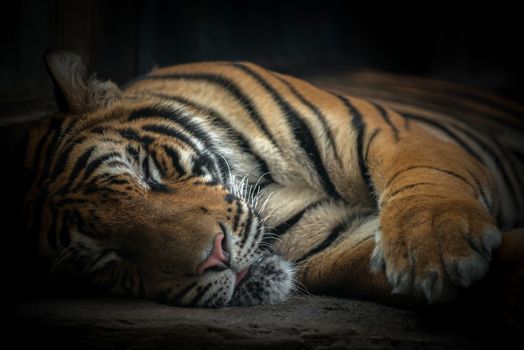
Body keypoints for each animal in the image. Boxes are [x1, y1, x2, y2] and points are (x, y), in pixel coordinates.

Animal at [14, 49, 520, 306]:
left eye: (147, 173)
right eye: (107, 257)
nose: (214, 258)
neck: (263, 185)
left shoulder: (384, 130)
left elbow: (428, 180)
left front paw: (433, 251)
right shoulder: (338, 239)